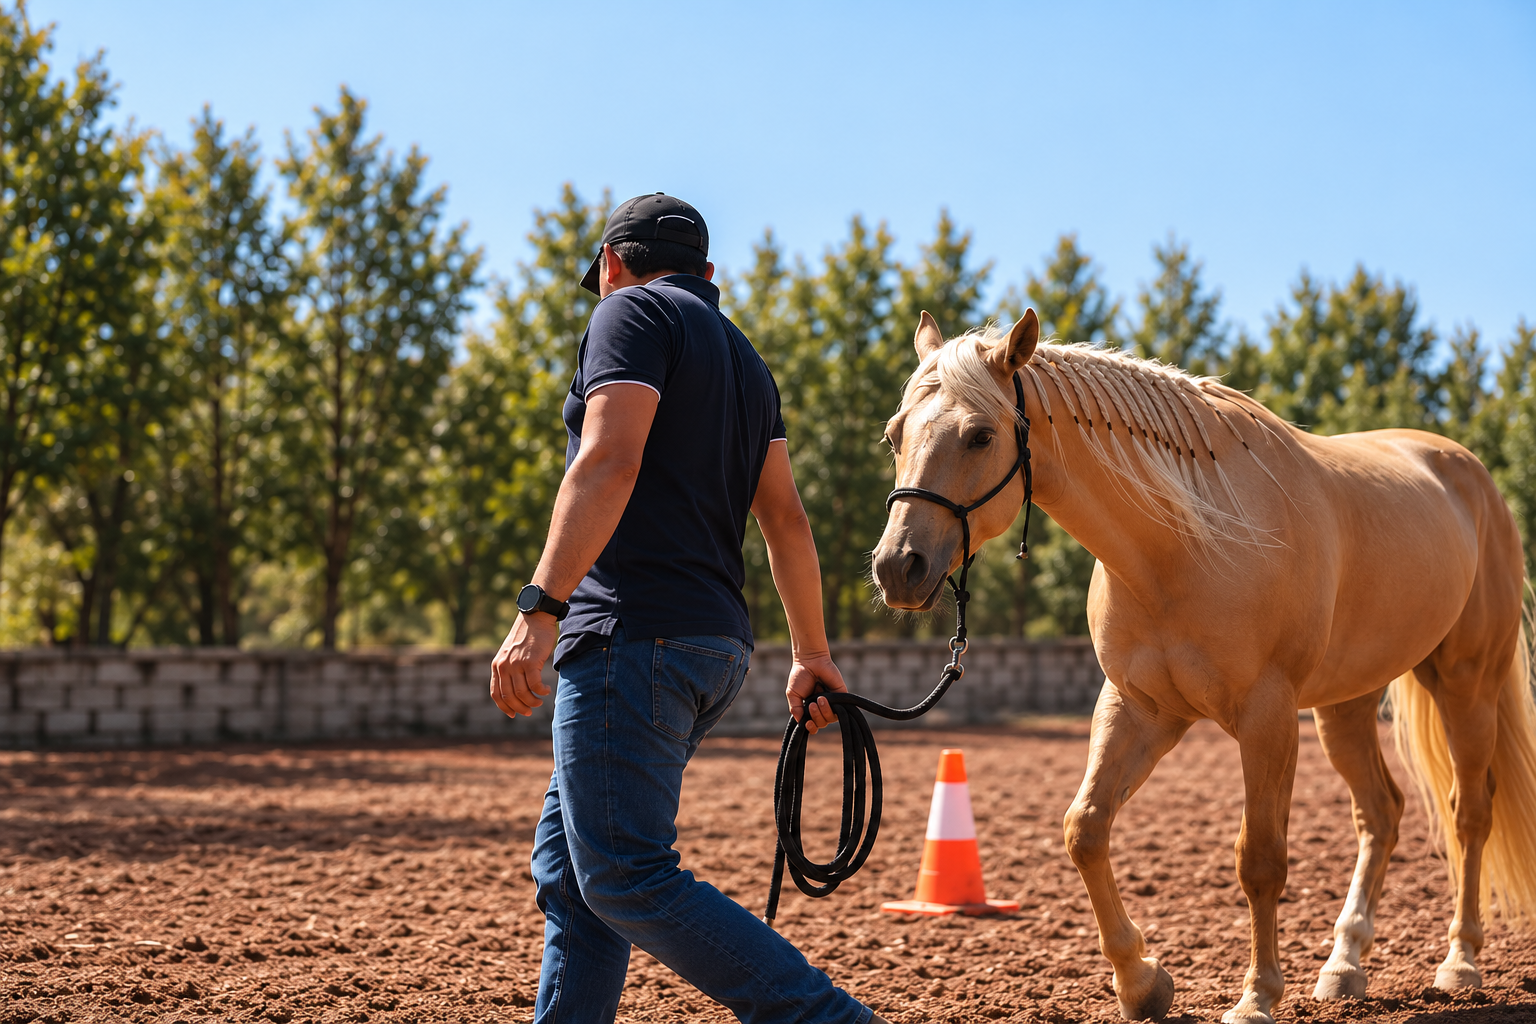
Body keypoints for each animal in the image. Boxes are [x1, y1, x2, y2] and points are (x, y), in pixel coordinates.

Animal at [871, 309, 1536, 1023]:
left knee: (1470, 813)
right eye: (895, 433)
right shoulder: (1139, 709)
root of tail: (1470, 476)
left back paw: (1460, 962)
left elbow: (1260, 859)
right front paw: (1142, 982)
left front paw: (1257, 996)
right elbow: (1085, 829)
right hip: (1346, 705)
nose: (898, 567)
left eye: (980, 434)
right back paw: (1344, 966)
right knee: (1381, 813)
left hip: (1467, 683)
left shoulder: (1267, 717)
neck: (1187, 543)